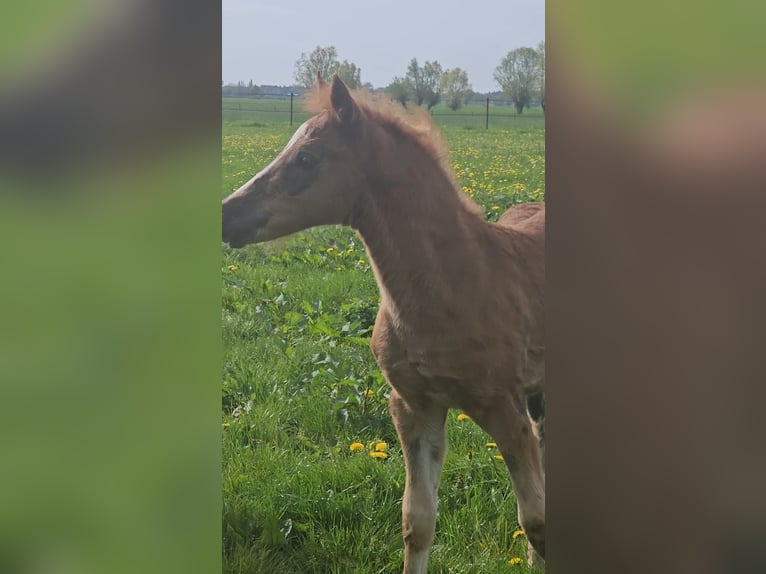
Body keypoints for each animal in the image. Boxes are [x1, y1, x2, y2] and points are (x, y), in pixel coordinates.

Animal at [220, 75, 544, 572]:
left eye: (306, 159)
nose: (226, 213)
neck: (453, 283)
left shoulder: (503, 407)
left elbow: (536, 519)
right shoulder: (414, 407)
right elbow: (417, 521)